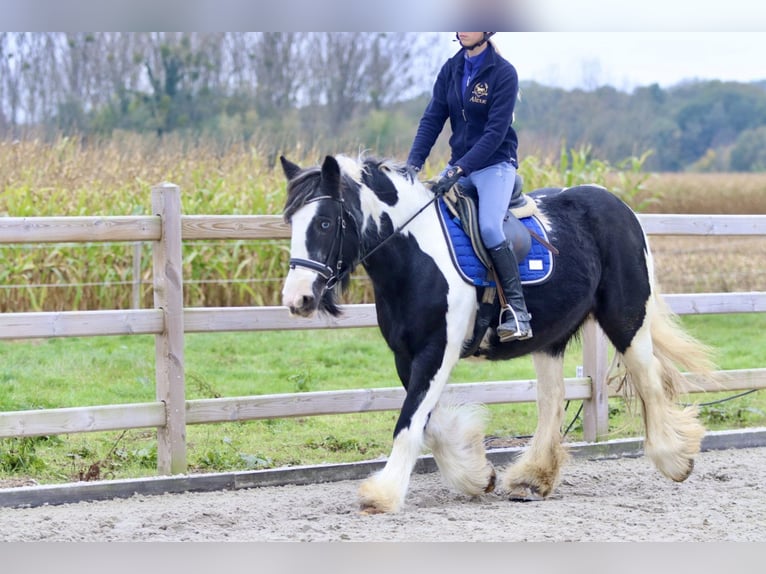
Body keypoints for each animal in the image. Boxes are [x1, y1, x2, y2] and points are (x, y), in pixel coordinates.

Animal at [280, 154, 716, 516]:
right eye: (291, 223)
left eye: (324, 222)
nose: (298, 298)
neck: (416, 256)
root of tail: (619, 206)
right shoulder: (406, 355)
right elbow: (426, 421)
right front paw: (477, 477)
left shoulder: (437, 350)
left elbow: (410, 422)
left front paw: (382, 495)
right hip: (550, 338)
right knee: (553, 401)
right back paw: (533, 479)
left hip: (626, 320)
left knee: (648, 381)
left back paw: (675, 460)